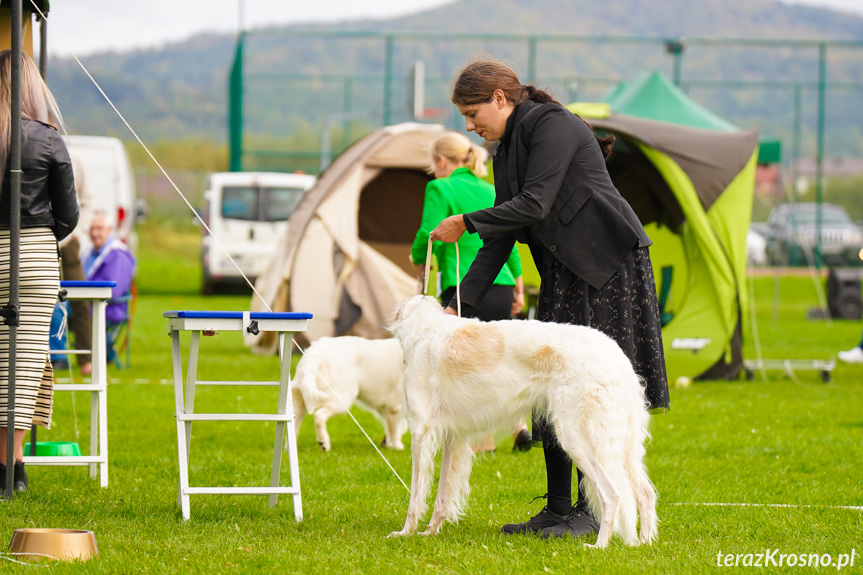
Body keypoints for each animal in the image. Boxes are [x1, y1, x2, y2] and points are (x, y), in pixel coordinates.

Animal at [388, 296, 660, 548]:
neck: (424, 327)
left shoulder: (421, 430)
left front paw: (405, 532)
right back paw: (644, 543)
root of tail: (619, 358)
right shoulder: (454, 437)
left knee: (613, 495)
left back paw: (599, 545)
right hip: (621, 442)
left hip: (578, 438)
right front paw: (431, 531)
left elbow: (415, 495)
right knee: (645, 493)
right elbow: (442, 496)